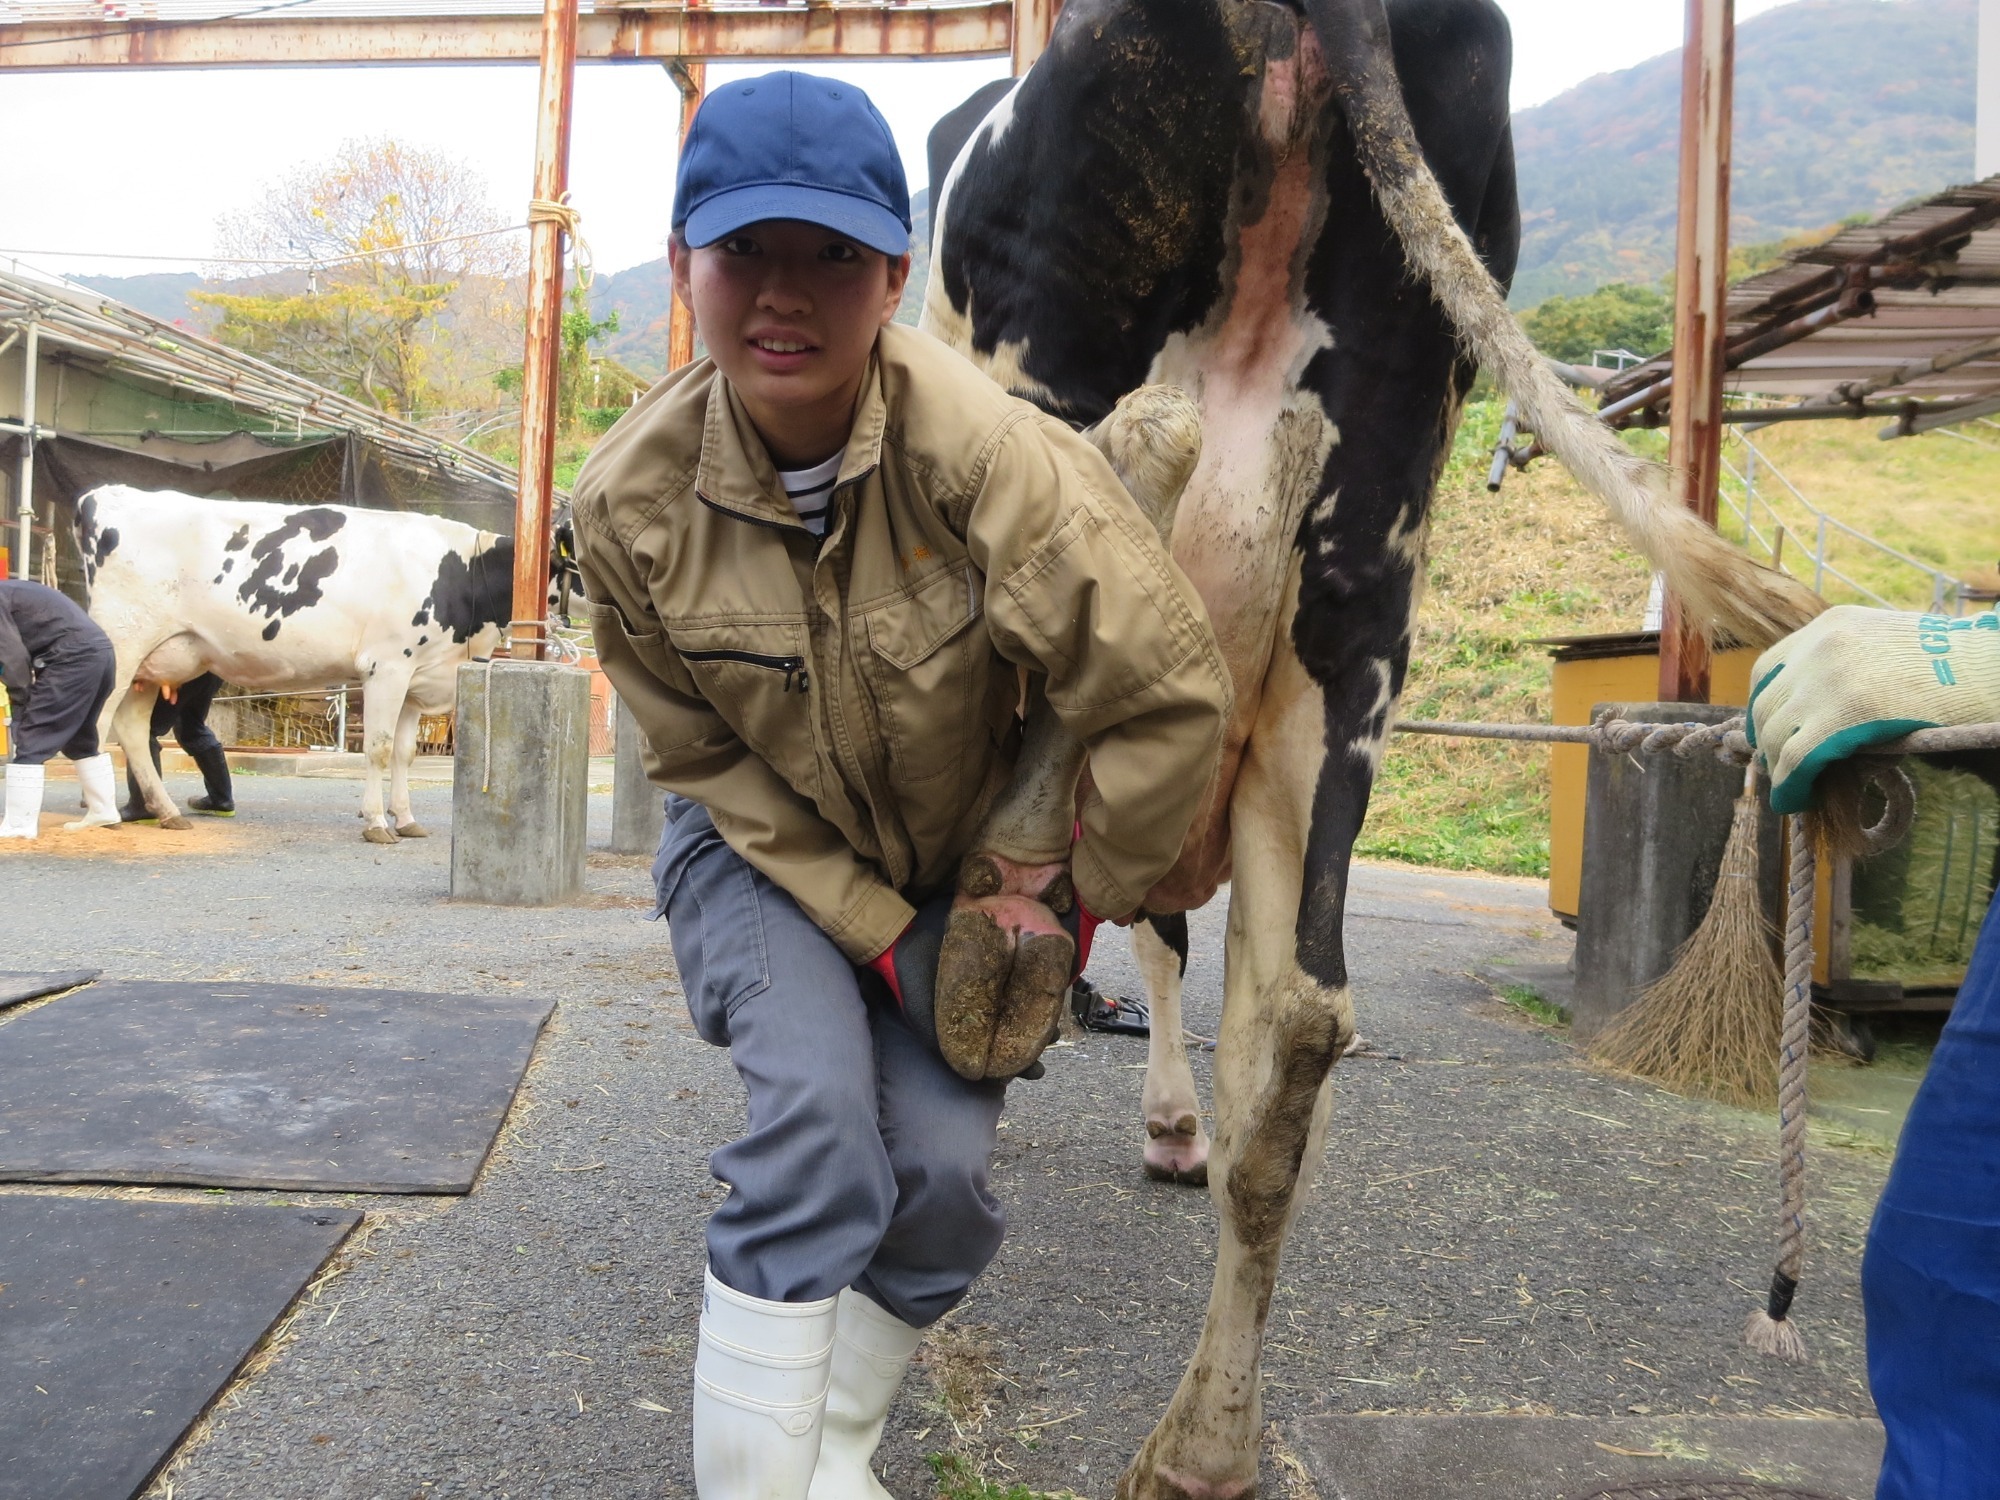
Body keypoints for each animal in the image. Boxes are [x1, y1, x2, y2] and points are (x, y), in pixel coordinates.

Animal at [73, 484, 531, 843]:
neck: (461, 568)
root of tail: (103, 495)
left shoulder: (417, 680)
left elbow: (404, 753)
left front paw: (406, 820)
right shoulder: (386, 667)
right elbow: (379, 749)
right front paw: (377, 823)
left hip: (155, 660)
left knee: (132, 728)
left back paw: (165, 812)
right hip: (123, 643)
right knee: (98, 722)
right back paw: (99, 814)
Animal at [921, 0, 1820, 1493]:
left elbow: (1153, 944)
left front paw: (1156, 1117)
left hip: (1056, 355)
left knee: (1128, 459)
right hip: (1360, 591)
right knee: (1299, 1018)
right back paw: (1204, 1448)